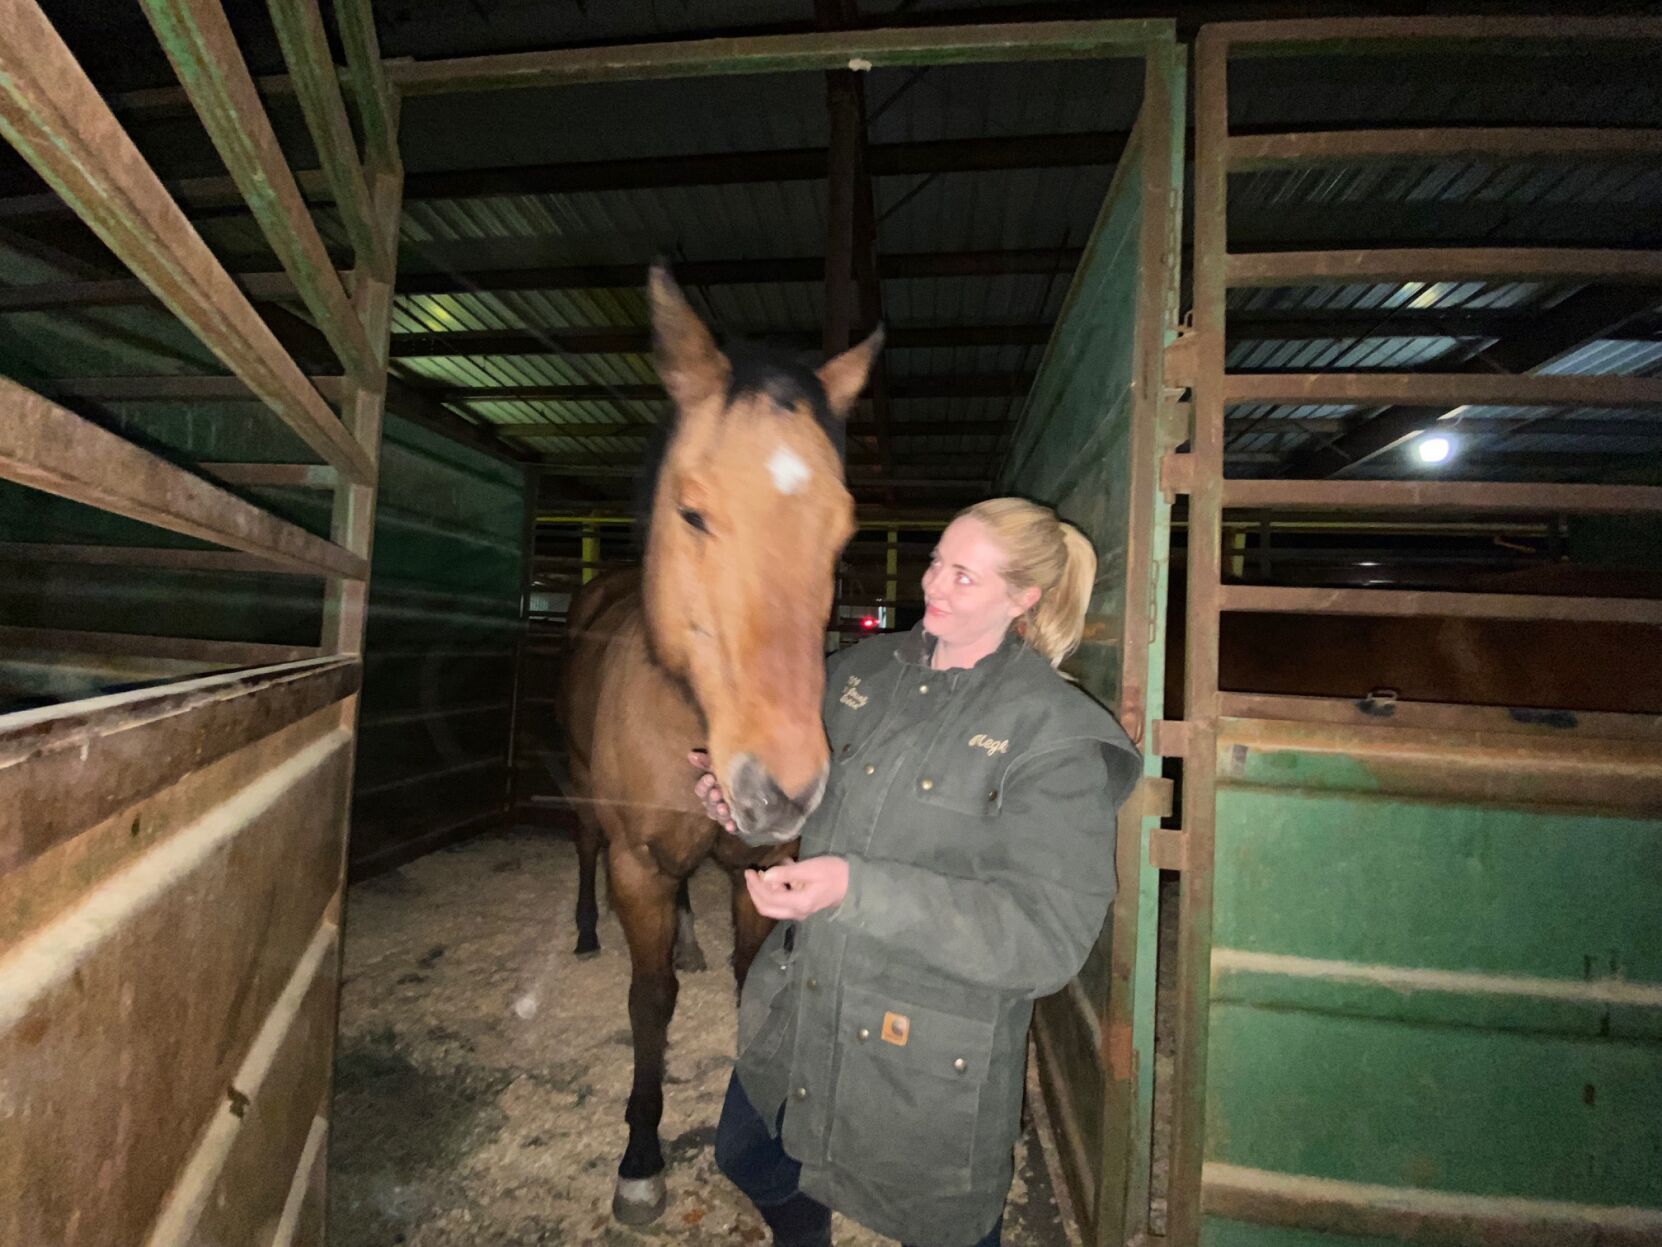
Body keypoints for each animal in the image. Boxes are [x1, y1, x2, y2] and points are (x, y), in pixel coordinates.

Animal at [556, 264, 881, 1224]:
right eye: (692, 511)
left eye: (843, 530)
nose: (785, 787)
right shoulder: (638, 866)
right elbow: (650, 1000)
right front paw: (639, 1158)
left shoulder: (763, 865)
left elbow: (748, 975)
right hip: (589, 805)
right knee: (584, 851)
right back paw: (584, 932)